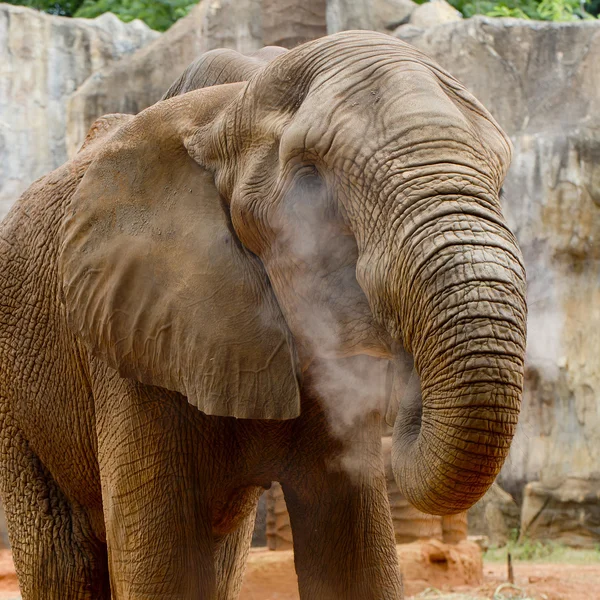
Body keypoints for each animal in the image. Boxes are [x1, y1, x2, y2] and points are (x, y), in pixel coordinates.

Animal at [0, 32, 524, 600]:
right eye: (310, 180)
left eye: (500, 181)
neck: (230, 109)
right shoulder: (129, 334)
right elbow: (163, 564)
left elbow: (353, 555)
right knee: (62, 559)